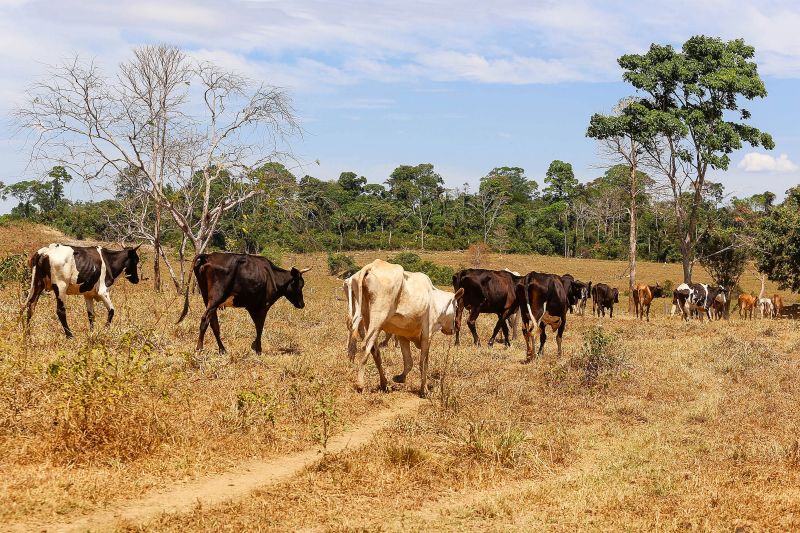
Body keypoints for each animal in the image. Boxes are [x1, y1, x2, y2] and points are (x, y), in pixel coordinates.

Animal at [177, 252, 310, 354]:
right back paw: (199, 348)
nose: (302, 304)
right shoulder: (263, 306)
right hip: (216, 298)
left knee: (213, 322)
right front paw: (258, 349)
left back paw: (222, 349)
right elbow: (260, 327)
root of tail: (208, 256)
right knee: (205, 319)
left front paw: (255, 346)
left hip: (207, 298)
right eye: (299, 284)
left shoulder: (252, 307)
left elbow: (258, 326)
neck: (273, 276)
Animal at [346, 258, 466, 394]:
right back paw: (361, 385)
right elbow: (423, 363)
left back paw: (384, 383)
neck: (434, 300)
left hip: (366, 318)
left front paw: (400, 378)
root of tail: (371, 266)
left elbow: (409, 362)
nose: (454, 328)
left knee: (374, 350)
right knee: (365, 346)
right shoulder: (427, 334)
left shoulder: (402, 336)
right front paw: (424, 390)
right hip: (378, 318)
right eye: (456, 306)